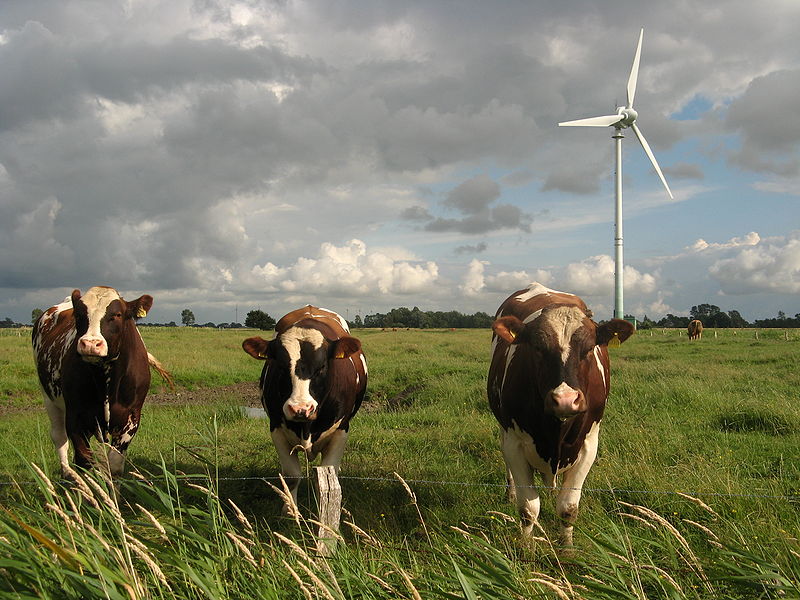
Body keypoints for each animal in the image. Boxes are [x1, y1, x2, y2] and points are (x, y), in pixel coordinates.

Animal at [32, 286, 170, 478]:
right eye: (79, 315)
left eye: (117, 314)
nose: (90, 344)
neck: (106, 381)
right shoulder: (76, 417)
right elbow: (84, 462)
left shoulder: (131, 418)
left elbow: (114, 465)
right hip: (48, 398)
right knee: (59, 436)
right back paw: (68, 473)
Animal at [242, 304, 368, 510]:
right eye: (280, 365)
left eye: (322, 366)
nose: (300, 408)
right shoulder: (276, 428)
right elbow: (292, 476)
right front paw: (290, 510)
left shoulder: (341, 430)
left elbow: (328, 475)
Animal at [484, 282, 636, 548]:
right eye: (537, 348)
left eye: (589, 348)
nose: (565, 399)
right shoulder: (515, 443)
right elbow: (528, 509)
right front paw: (526, 548)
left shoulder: (588, 444)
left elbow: (568, 508)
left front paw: (567, 548)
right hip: (504, 431)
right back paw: (510, 492)